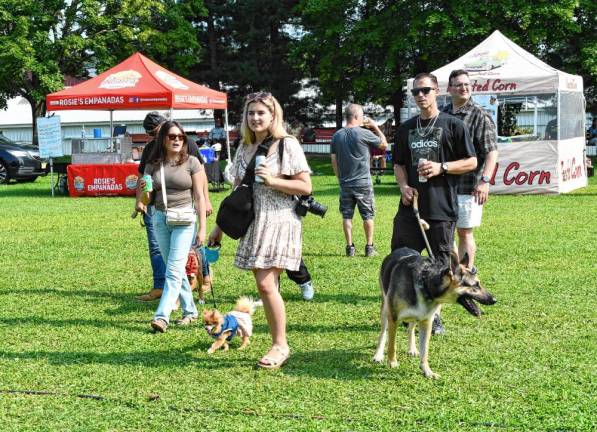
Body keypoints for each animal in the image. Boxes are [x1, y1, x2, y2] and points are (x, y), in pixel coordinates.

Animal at [372, 246, 494, 378]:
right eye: (475, 285)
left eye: (478, 283)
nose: (494, 300)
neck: (427, 285)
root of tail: (401, 248)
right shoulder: (393, 319)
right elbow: (392, 345)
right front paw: (392, 363)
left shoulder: (426, 322)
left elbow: (425, 351)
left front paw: (427, 371)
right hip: (385, 310)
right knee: (383, 333)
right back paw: (378, 355)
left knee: (410, 328)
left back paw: (412, 348)